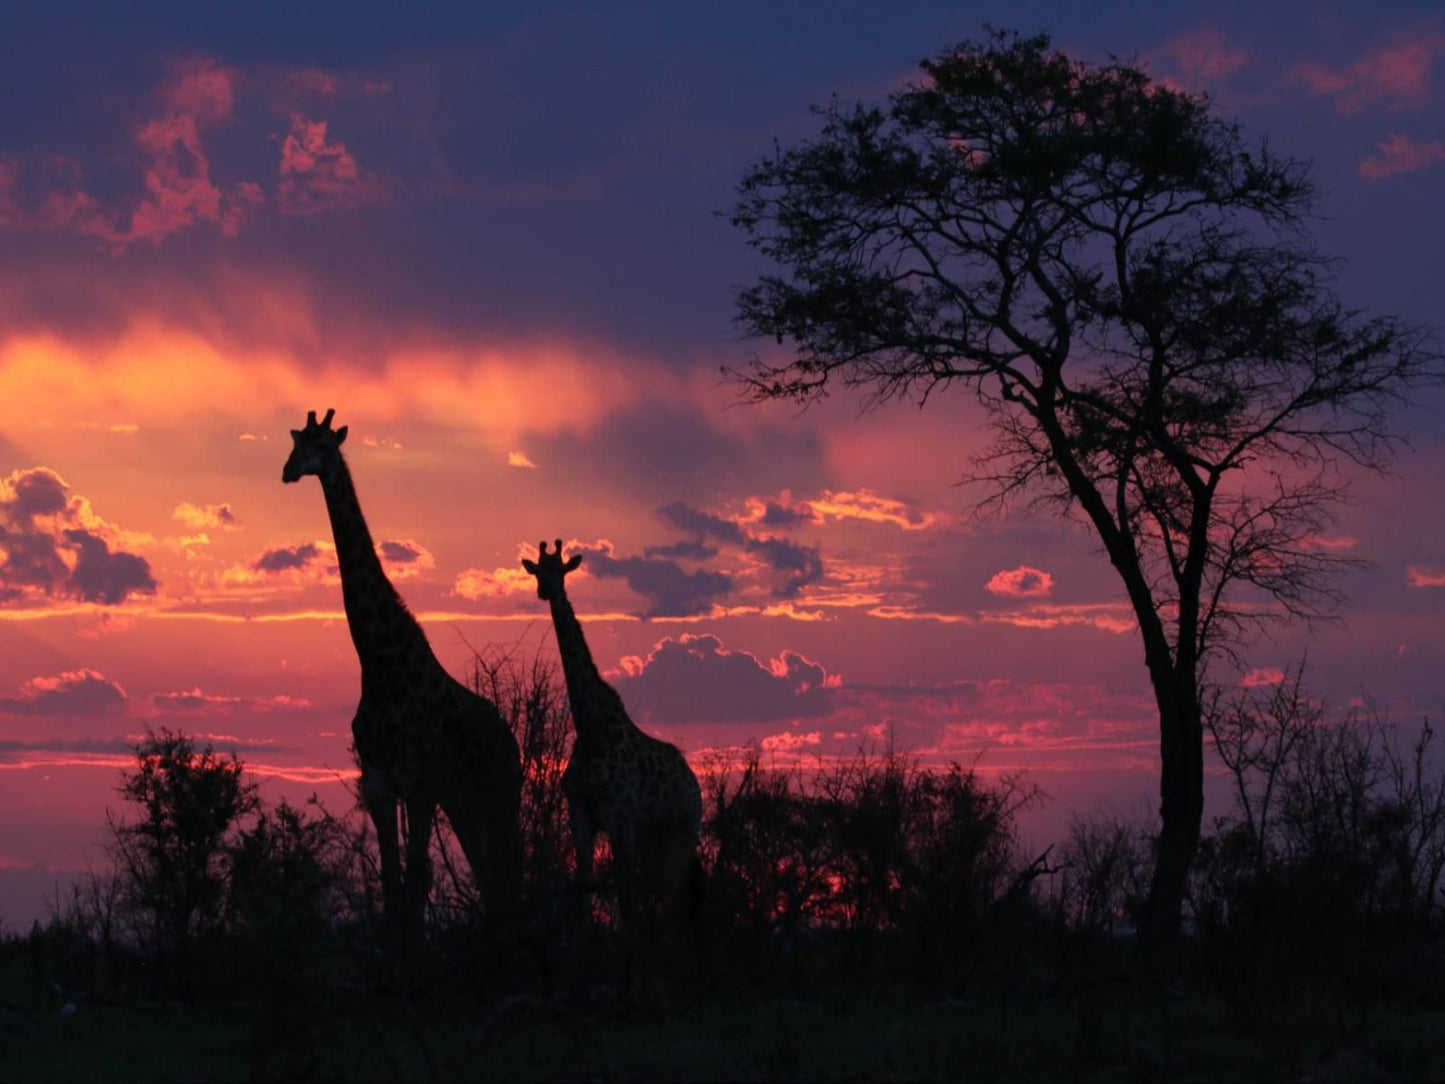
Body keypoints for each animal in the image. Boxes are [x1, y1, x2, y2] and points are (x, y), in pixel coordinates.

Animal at [278, 410, 523, 942]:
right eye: (297, 442)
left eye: (324, 446)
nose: (288, 471)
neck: (378, 662)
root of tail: (512, 741)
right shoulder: (378, 779)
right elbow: (392, 879)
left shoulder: (420, 781)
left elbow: (415, 877)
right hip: (465, 799)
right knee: (490, 874)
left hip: (501, 793)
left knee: (510, 869)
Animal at [525, 540, 705, 930]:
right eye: (537, 571)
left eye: (561, 570)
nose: (546, 590)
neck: (591, 729)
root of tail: (694, 783)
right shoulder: (581, 814)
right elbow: (584, 888)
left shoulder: (621, 820)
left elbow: (626, 899)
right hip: (654, 836)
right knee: (668, 895)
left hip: (683, 829)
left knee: (674, 897)